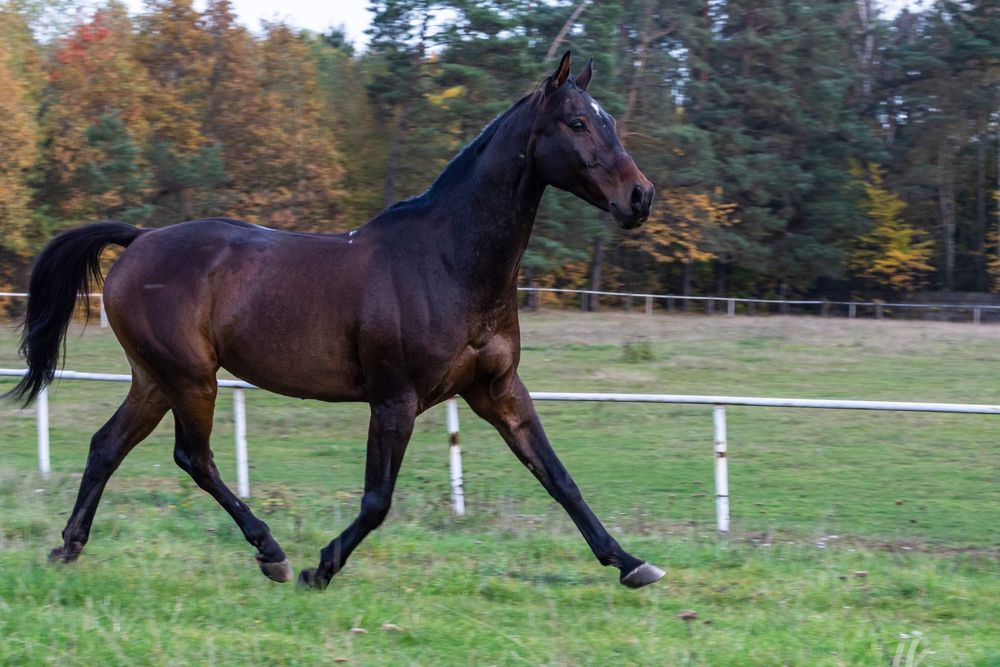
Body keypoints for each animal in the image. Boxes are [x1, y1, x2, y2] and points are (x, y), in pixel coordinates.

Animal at [9, 54, 664, 592]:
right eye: (577, 124)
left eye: (608, 121)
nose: (640, 197)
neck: (448, 261)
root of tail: (140, 239)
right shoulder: (395, 399)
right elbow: (377, 500)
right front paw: (318, 568)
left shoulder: (497, 389)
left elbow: (558, 477)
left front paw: (631, 563)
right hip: (192, 379)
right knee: (193, 458)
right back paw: (270, 551)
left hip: (154, 379)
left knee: (107, 446)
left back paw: (68, 548)